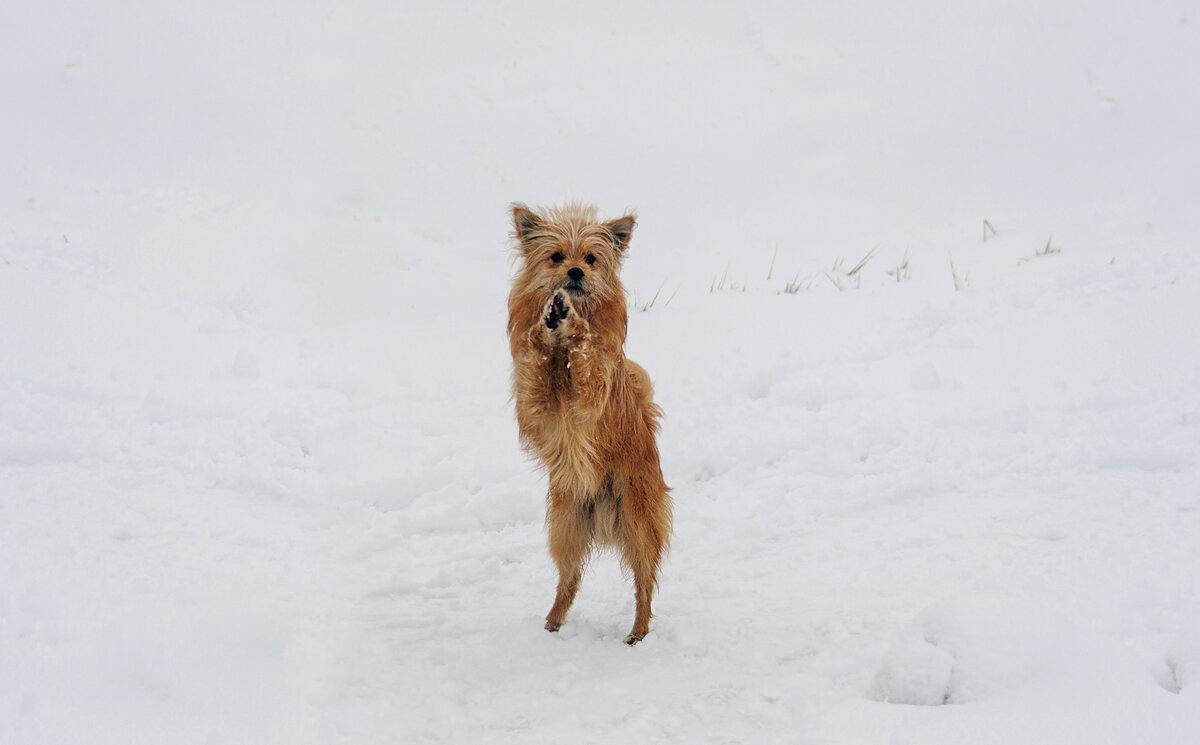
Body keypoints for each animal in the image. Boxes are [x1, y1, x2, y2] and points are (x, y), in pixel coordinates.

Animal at [508, 200, 676, 643]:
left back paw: (638, 632)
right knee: (570, 579)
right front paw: (547, 322)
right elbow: (533, 355)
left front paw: (573, 323)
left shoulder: (592, 394)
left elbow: (587, 352)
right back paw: (551, 623)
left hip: (638, 522)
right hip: (565, 526)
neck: (561, 354)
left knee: (644, 584)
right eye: (555, 257)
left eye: (591, 258)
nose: (575, 273)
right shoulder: (536, 407)